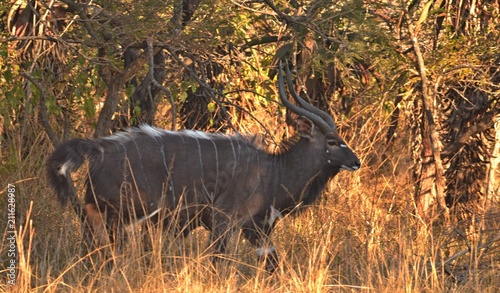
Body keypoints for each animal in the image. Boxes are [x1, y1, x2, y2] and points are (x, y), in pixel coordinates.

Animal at [46, 60, 360, 272]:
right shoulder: (224, 221)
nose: (356, 162)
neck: (273, 171)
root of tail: (98, 148)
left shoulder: (257, 230)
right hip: (119, 214)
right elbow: (217, 261)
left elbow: (272, 262)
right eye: (333, 141)